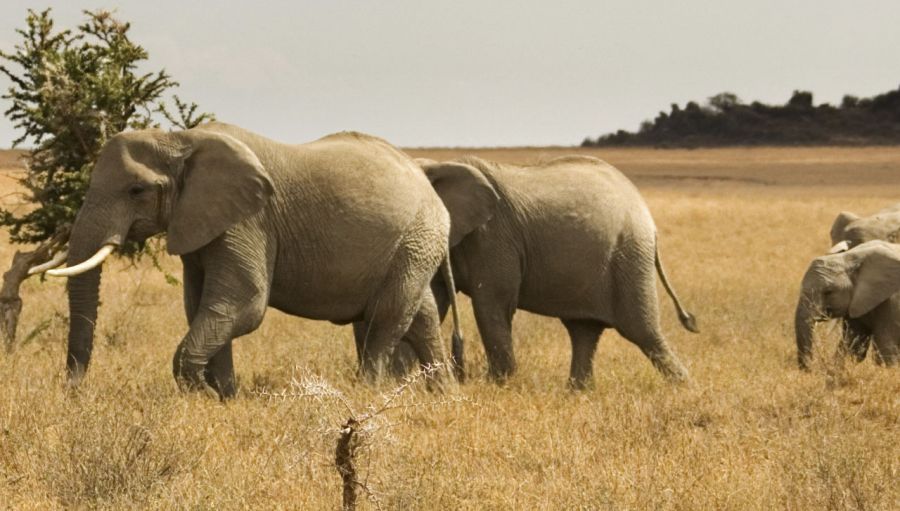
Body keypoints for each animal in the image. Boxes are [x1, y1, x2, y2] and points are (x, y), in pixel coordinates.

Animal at [31, 123, 496, 400]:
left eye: (136, 191)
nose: (72, 392)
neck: (182, 139)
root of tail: (425, 181)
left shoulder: (249, 220)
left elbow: (243, 304)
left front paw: (201, 397)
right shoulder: (204, 223)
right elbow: (203, 306)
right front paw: (224, 399)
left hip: (418, 236)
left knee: (387, 316)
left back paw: (367, 394)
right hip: (414, 244)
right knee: (418, 314)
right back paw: (446, 397)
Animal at [372, 155, 696, 388]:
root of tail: (646, 213)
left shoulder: (493, 236)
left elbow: (491, 303)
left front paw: (499, 386)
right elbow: (429, 301)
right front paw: (399, 381)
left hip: (629, 255)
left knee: (642, 330)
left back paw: (686, 389)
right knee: (584, 331)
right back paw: (578, 392)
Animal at [796, 238, 900, 370]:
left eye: (828, 292)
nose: (810, 370)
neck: (849, 258)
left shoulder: (893, 302)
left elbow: (886, 349)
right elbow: (852, 346)